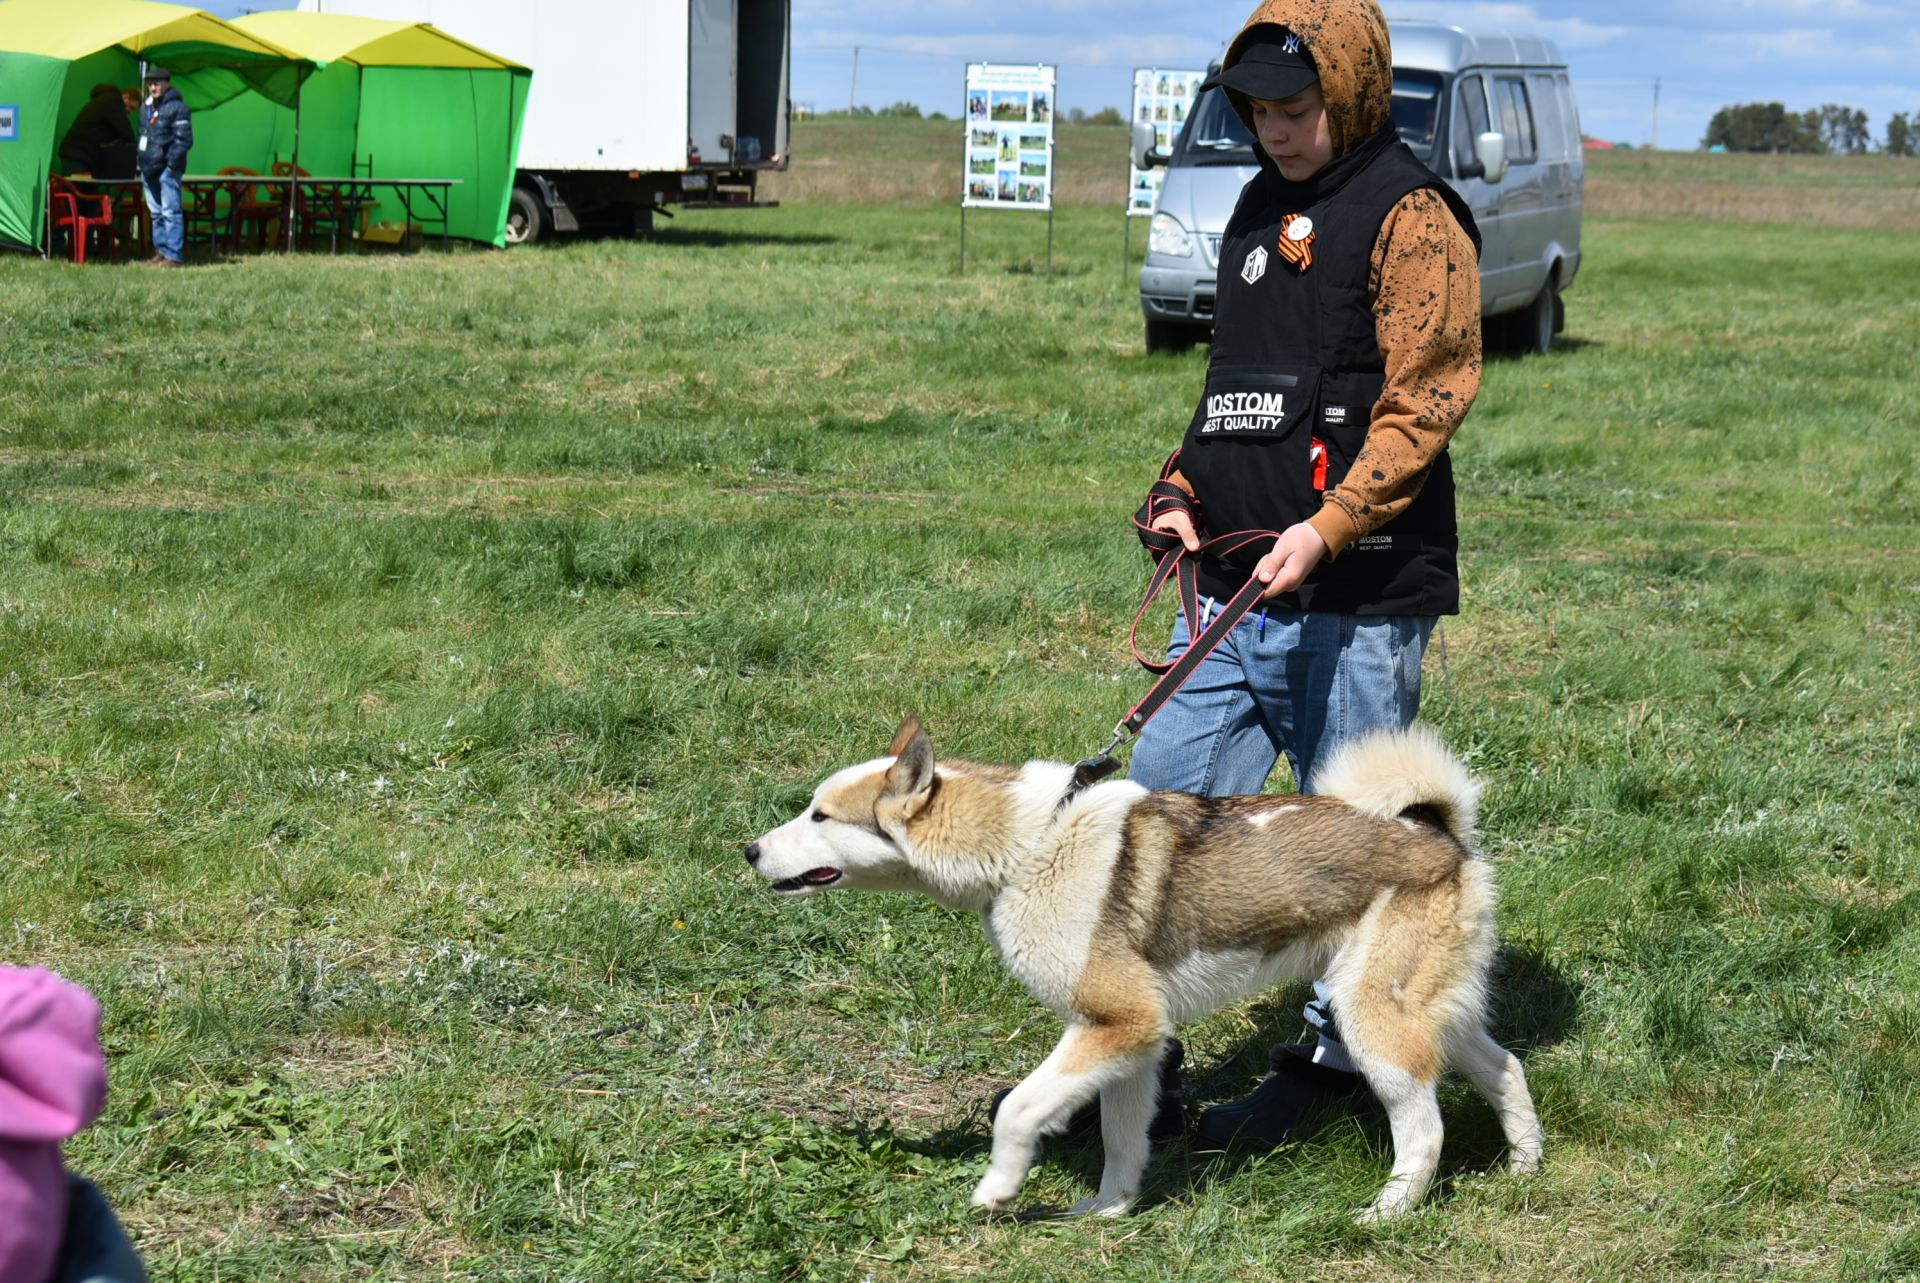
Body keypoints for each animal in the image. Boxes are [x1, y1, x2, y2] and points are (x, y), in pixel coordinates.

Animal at [741, 718, 1536, 1221]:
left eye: (820, 816)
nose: (748, 850)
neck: (1029, 845)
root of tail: (1437, 831)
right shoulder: (1129, 1042)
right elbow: (1123, 1138)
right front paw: (1108, 1210)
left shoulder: (1116, 1023)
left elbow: (1019, 1109)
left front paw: (998, 1189)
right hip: (1428, 1011)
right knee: (1507, 1068)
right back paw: (1525, 1168)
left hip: (1370, 1018)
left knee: (1424, 1128)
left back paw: (1385, 1213)